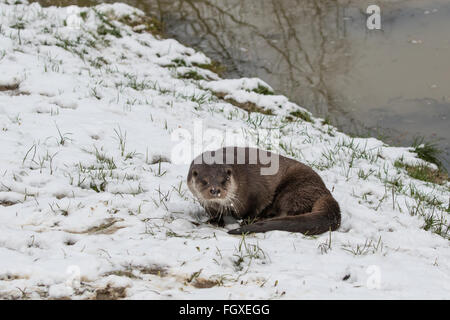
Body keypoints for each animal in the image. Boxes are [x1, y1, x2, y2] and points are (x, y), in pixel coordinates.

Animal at [187, 148, 342, 235]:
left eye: (224, 180)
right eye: (204, 181)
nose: (215, 190)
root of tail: (325, 192)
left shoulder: (256, 192)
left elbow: (254, 208)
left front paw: (247, 221)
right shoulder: (205, 202)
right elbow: (212, 211)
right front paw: (215, 220)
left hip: (296, 188)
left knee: (288, 210)